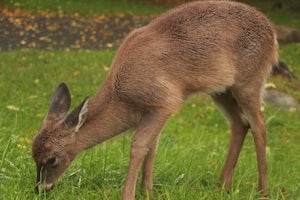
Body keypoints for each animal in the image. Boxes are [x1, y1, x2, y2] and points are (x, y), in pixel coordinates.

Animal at [31, 0, 278, 199]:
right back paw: (222, 187)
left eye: (51, 159)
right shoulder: (153, 111)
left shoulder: (164, 101)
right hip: (221, 90)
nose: (40, 189)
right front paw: (147, 191)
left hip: (250, 79)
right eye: (33, 156)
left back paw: (263, 191)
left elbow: (139, 146)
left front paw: (129, 194)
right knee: (240, 122)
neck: (122, 96)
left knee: (259, 125)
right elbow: (152, 146)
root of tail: (273, 34)